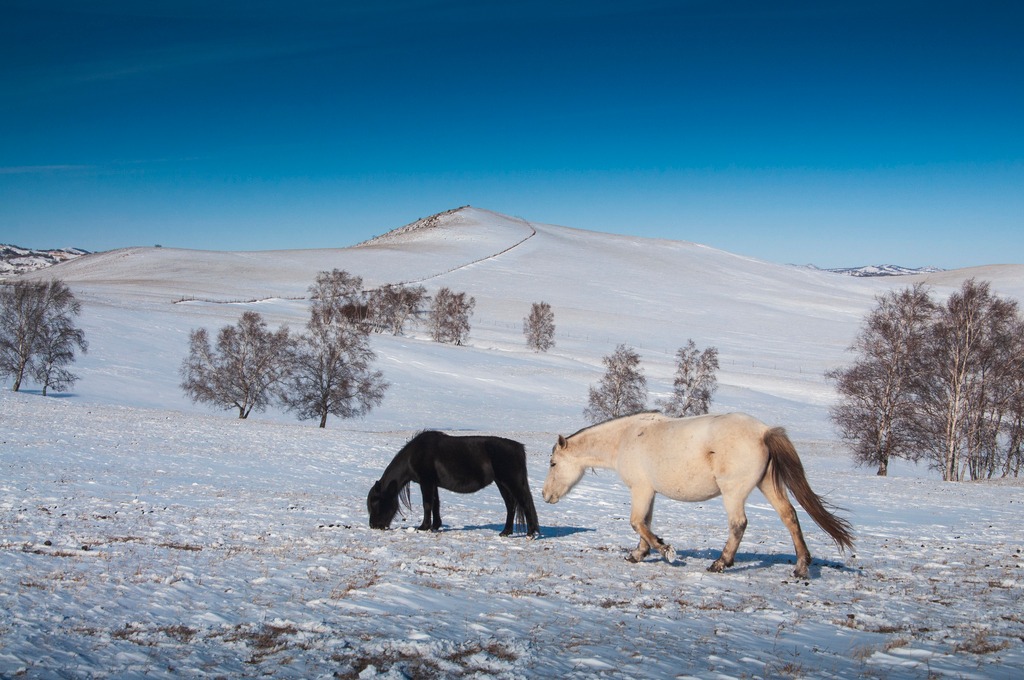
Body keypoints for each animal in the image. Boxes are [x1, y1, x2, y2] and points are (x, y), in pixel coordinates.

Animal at [367, 431, 541, 537]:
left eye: (376, 503)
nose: (374, 526)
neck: (415, 454)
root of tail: (518, 448)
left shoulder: (426, 482)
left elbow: (427, 504)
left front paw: (423, 527)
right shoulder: (433, 484)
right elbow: (435, 504)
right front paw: (435, 525)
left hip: (511, 482)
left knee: (524, 503)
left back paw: (530, 533)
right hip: (502, 484)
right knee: (511, 506)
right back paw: (506, 532)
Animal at [542, 411, 853, 578]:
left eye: (553, 463)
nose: (545, 495)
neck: (626, 438)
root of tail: (763, 431)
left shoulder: (640, 489)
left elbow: (637, 523)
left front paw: (666, 550)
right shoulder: (649, 492)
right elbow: (644, 524)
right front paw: (639, 554)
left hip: (733, 492)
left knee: (738, 524)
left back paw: (720, 563)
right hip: (767, 485)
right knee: (790, 517)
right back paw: (801, 567)